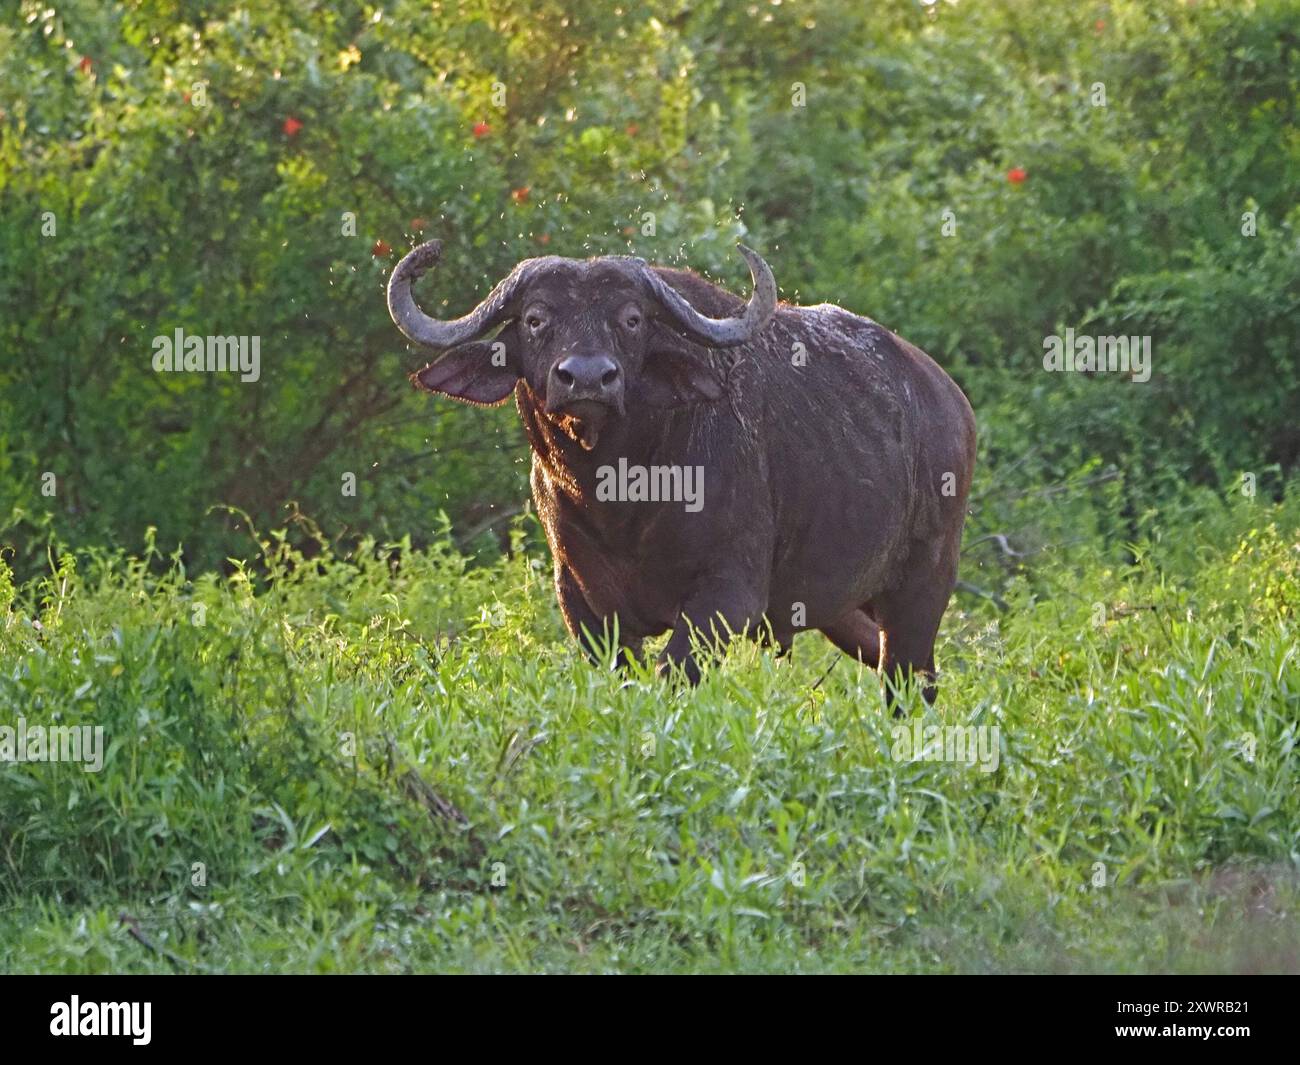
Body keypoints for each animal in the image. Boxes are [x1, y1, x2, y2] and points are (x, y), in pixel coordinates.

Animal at [388, 240, 976, 709]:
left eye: (632, 319)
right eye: (535, 319)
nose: (588, 378)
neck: (621, 498)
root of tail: (950, 403)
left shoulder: (727, 596)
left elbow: (673, 672)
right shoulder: (582, 603)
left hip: (922, 587)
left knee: (910, 682)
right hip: (848, 612)